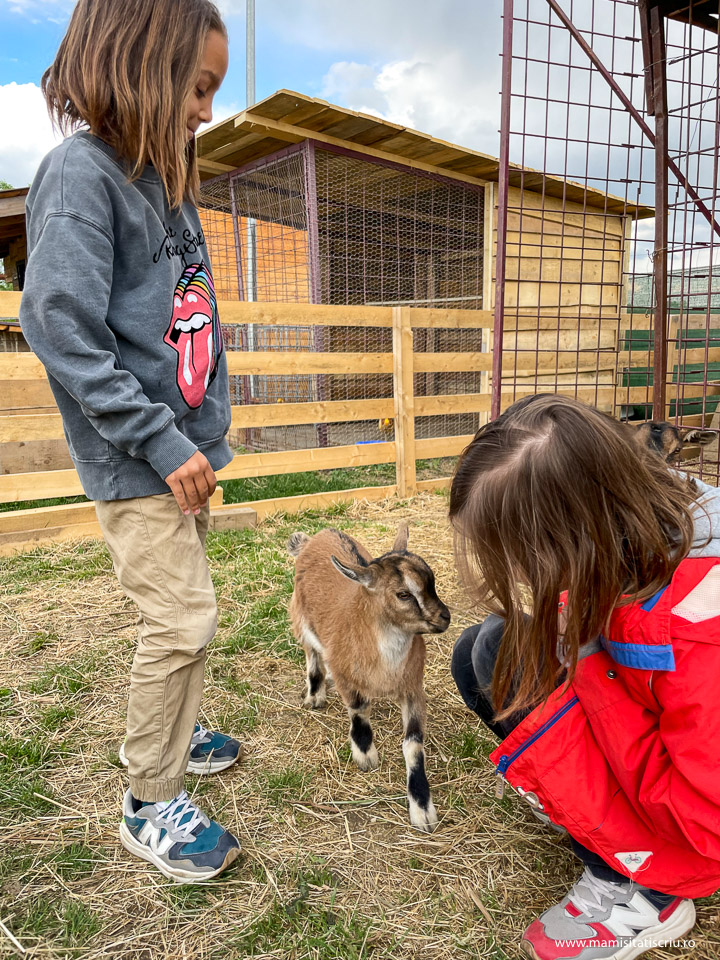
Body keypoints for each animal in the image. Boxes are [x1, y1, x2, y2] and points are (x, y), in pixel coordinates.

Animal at [286, 524, 450, 832]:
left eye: (432, 582)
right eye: (403, 594)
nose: (444, 617)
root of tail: (317, 536)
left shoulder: (413, 688)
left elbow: (413, 744)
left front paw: (422, 809)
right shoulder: (346, 677)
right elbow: (359, 710)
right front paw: (365, 755)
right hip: (300, 617)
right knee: (311, 652)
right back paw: (315, 694)